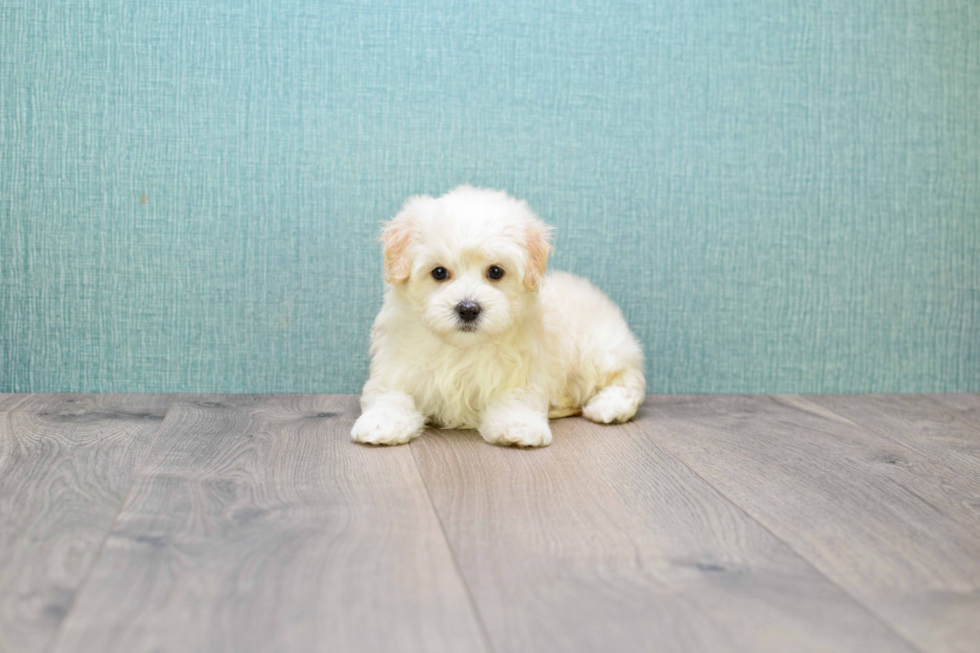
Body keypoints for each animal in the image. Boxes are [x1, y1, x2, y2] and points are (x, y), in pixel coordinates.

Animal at [350, 186, 644, 446]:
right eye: (439, 272)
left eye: (495, 272)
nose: (468, 308)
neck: (461, 348)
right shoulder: (395, 368)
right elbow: (390, 396)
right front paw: (381, 423)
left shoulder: (522, 374)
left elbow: (514, 399)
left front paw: (519, 427)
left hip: (595, 350)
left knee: (628, 377)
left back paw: (610, 406)